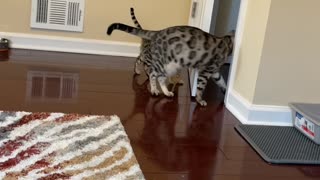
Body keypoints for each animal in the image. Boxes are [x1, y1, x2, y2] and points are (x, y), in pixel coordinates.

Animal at [106, 23, 234, 106]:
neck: (226, 41)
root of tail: (157, 31)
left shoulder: (215, 71)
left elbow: (222, 81)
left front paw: (225, 91)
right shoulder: (206, 70)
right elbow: (200, 87)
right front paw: (199, 100)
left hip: (167, 66)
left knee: (161, 78)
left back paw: (167, 92)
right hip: (162, 62)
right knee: (152, 74)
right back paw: (154, 89)